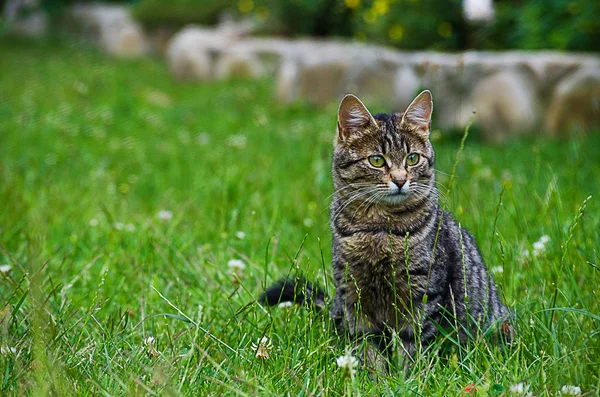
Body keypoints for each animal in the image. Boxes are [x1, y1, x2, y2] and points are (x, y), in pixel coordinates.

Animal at [262, 91, 510, 370]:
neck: (379, 229)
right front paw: (373, 375)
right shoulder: (353, 295)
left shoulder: (422, 294)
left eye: (412, 158)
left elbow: (412, 344)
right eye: (377, 160)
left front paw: (408, 376)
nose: (400, 180)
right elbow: (366, 345)